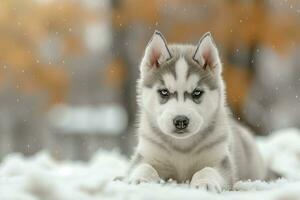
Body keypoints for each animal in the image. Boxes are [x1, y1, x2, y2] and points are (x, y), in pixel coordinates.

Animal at [128, 30, 264, 191]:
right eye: (164, 92)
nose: (180, 121)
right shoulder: (147, 154)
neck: (182, 149)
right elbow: (144, 167)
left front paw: (204, 182)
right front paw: (140, 179)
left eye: (197, 93)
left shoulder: (221, 162)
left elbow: (207, 170)